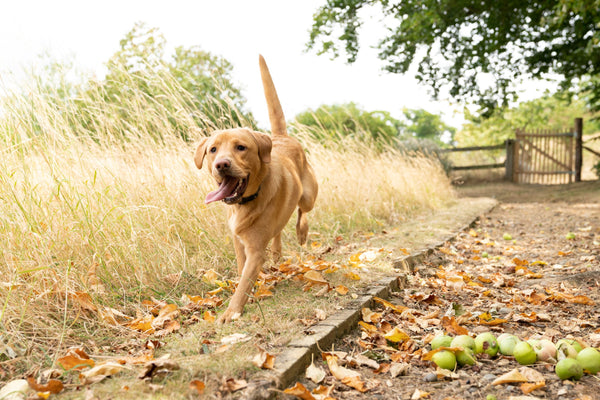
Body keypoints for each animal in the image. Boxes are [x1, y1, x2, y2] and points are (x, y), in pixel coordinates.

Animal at [196, 55, 318, 322]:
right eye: (213, 150)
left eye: (241, 147)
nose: (222, 164)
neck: (247, 201)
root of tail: (281, 137)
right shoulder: (240, 244)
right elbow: (243, 273)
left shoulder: (255, 250)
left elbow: (243, 283)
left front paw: (231, 312)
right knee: (279, 230)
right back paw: (278, 250)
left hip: (309, 194)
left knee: (302, 212)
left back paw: (302, 232)